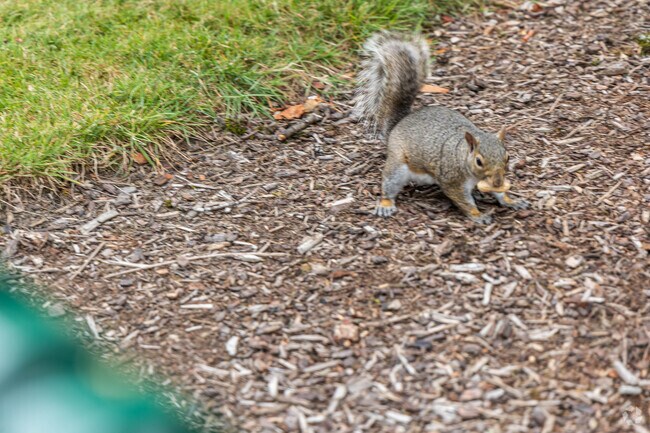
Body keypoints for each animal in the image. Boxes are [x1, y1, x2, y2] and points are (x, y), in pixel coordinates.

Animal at [353, 31, 529, 224]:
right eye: (479, 161)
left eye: (507, 157)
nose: (497, 182)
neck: (462, 156)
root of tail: (398, 124)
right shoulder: (452, 180)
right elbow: (463, 200)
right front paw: (478, 215)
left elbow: (500, 194)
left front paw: (510, 200)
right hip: (398, 164)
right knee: (389, 182)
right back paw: (385, 204)